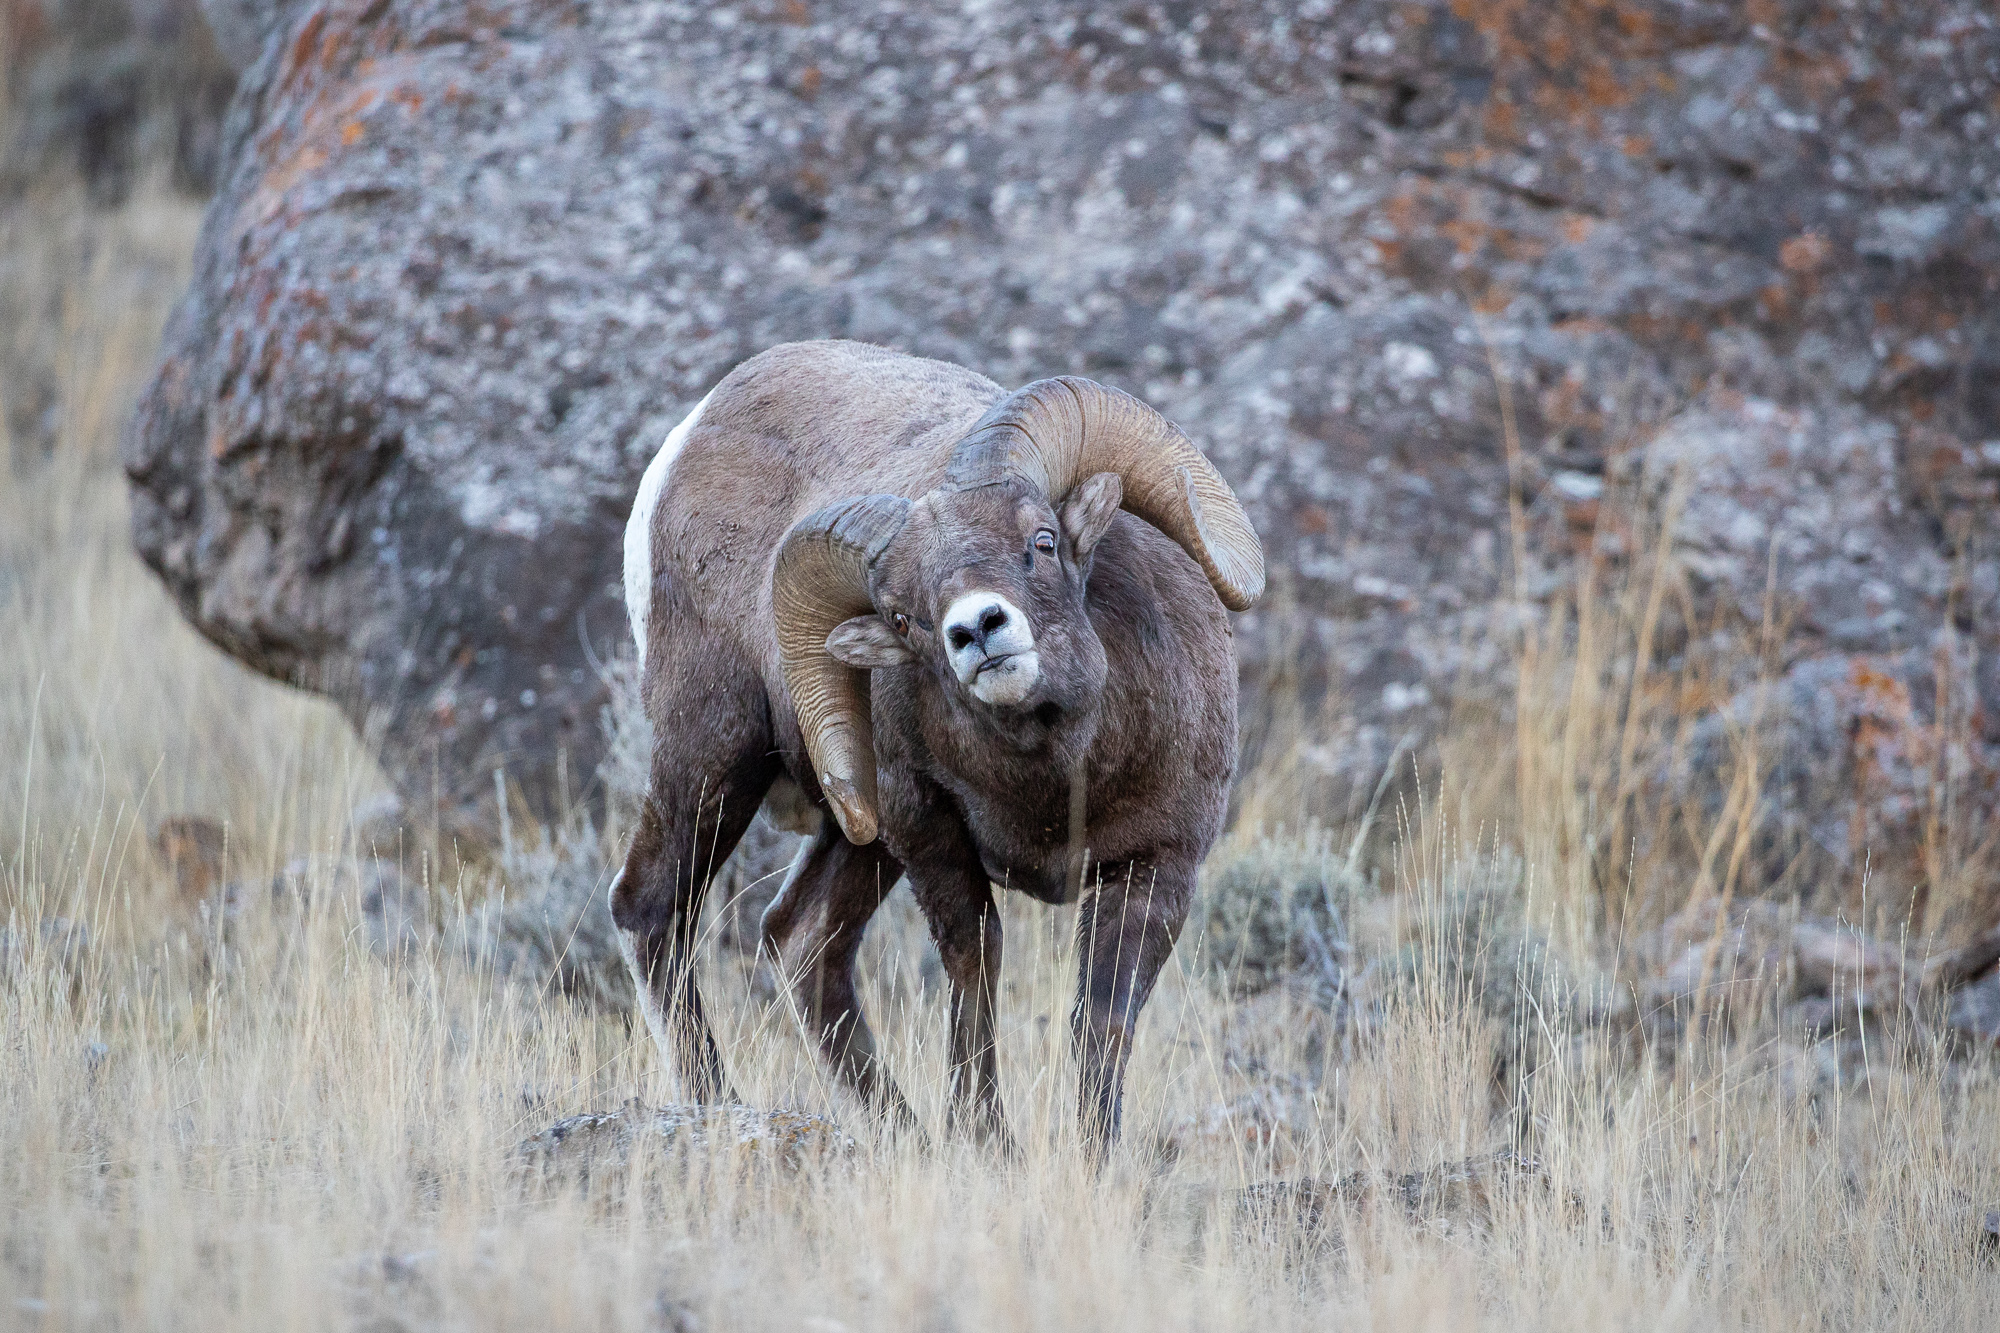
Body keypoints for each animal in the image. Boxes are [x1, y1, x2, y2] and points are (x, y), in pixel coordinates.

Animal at [611, 339, 1264, 1152]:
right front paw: (988, 1142)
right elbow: (973, 969)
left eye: (1041, 539)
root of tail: (685, 441)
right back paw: (720, 1105)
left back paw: (906, 1137)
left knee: (802, 941)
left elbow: (1102, 1014)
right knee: (650, 908)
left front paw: (1091, 1153)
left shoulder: (1156, 868)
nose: (977, 630)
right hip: (718, 756)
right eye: (905, 615)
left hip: (852, 832)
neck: (1058, 776)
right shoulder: (929, 834)